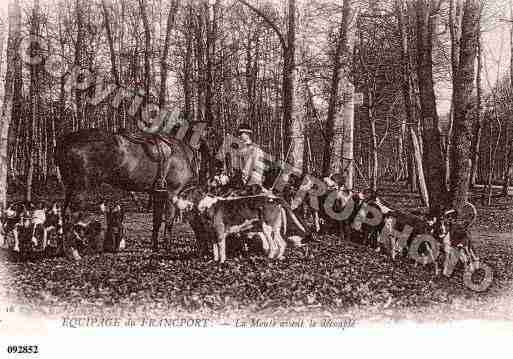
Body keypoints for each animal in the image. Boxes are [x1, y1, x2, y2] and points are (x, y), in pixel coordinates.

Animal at [55, 128, 199, 252]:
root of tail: (65, 140)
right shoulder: (172, 193)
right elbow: (169, 221)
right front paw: (167, 247)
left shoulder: (158, 194)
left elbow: (157, 222)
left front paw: (155, 246)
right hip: (81, 189)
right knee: (73, 216)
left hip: (69, 188)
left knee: (63, 214)